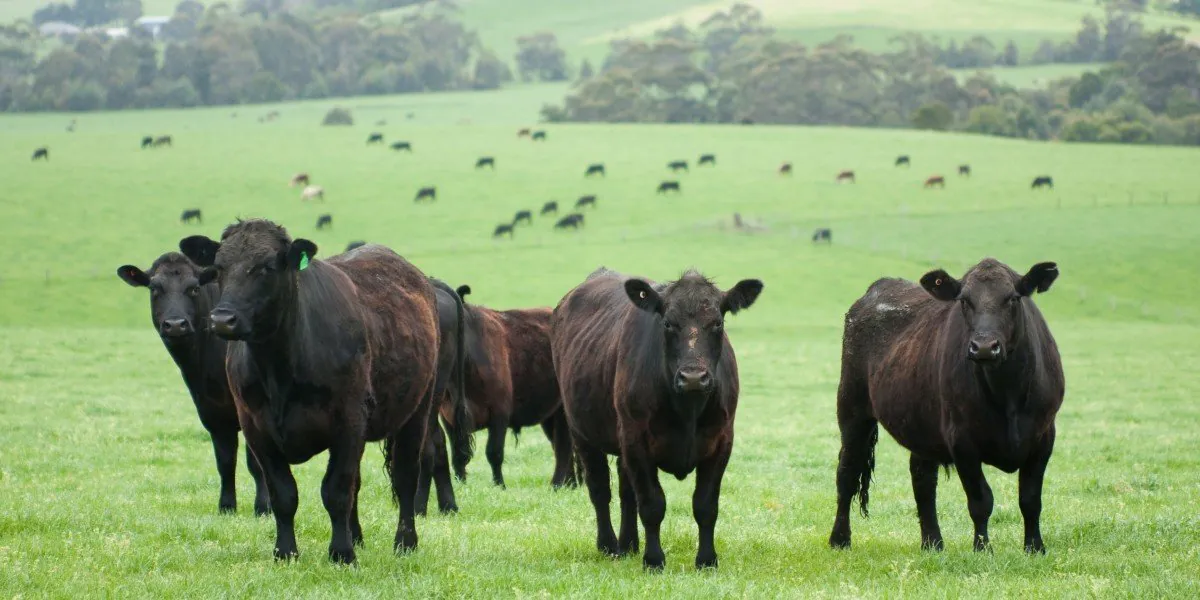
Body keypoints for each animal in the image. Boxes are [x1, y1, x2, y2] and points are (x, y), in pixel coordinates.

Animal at [116, 253, 270, 516]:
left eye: (194, 288)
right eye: (154, 288)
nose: (176, 324)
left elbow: (256, 463)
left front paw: (263, 508)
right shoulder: (211, 412)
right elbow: (225, 461)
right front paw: (226, 506)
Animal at [179, 221, 472, 563]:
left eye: (266, 267)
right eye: (219, 267)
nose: (222, 319)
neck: (279, 369)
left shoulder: (349, 421)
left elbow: (336, 491)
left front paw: (342, 553)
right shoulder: (256, 429)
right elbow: (284, 494)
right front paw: (286, 552)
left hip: (419, 410)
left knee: (406, 476)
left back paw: (405, 543)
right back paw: (357, 536)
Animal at [423, 285, 577, 498]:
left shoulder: (500, 412)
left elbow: (494, 452)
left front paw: (499, 485)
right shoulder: (449, 417)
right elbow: (458, 455)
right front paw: (461, 485)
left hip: (563, 411)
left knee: (563, 447)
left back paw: (557, 485)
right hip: (550, 415)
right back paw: (570, 484)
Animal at [550, 267, 763, 570]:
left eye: (718, 323)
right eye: (668, 324)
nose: (694, 377)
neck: (688, 410)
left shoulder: (722, 441)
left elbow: (706, 505)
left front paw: (707, 560)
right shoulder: (636, 441)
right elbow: (652, 505)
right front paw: (653, 560)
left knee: (626, 493)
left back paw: (629, 544)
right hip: (582, 432)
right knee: (600, 489)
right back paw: (609, 545)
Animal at [828, 259, 1063, 555]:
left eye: (1012, 298)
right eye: (964, 300)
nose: (984, 347)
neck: (1007, 395)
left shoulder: (1044, 436)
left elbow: (1030, 499)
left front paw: (1035, 548)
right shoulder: (962, 440)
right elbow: (981, 500)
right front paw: (982, 549)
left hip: (920, 424)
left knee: (922, 480)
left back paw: (932, 543)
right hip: (852, 409)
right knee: (847, 472)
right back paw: (840, 539)